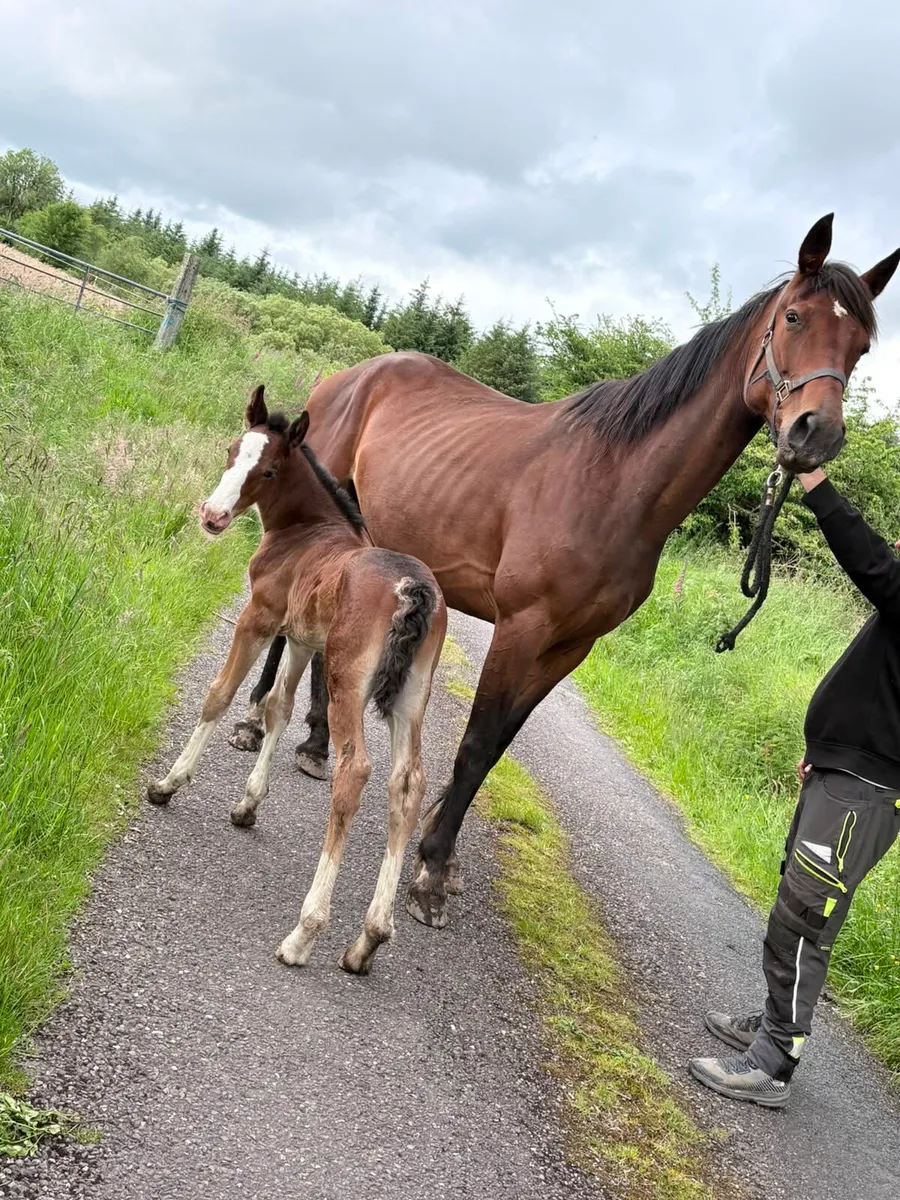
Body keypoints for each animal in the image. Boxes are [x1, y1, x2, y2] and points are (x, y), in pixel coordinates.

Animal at [148, 386, 447, 975]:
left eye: (267, 470)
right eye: (231, 450)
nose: (212, 515)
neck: (307, 532)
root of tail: (413, 589)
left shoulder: (259, 619)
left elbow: (220, 695)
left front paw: (168, 784)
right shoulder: (303, 639)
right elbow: (278, 707)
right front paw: (247, 806)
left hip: (348, 680)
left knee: (355, 770)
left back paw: (305, 933)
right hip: (411, 696)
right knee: (408, 783)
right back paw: (367, 941)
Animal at [234, 214, 899, 932]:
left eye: (862, 346)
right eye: (795, 317)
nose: (815, 434)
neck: (615, 485)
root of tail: (351, 374)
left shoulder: (569, 647)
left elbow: (497, 746)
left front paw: (441, 851)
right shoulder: (522, 627)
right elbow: (476, 742)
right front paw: (431, 873)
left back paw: (316, 743)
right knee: (284, 630)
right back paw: (254, 724)